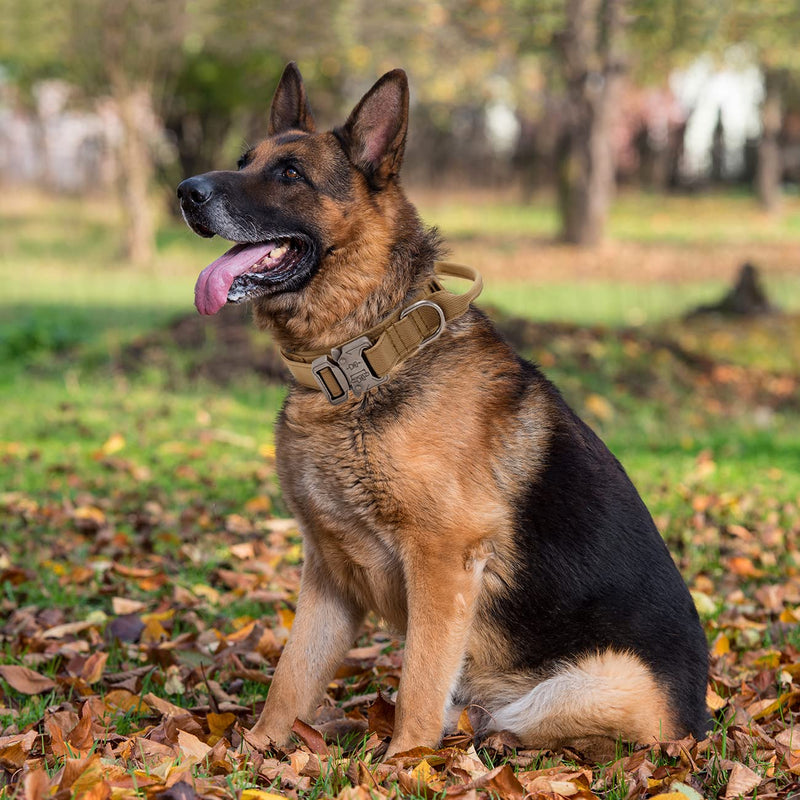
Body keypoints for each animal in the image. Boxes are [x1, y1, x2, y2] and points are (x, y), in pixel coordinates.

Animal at [178, 65, 708, 760]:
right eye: (245, 161)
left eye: (290, 174)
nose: (185, 193)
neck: (363, 359)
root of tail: (699, 727)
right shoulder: (328, 573)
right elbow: (291, 676)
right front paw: (254, 753)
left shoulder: (441, 564)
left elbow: (419, 684)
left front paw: (402, 765)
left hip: (582, 687)